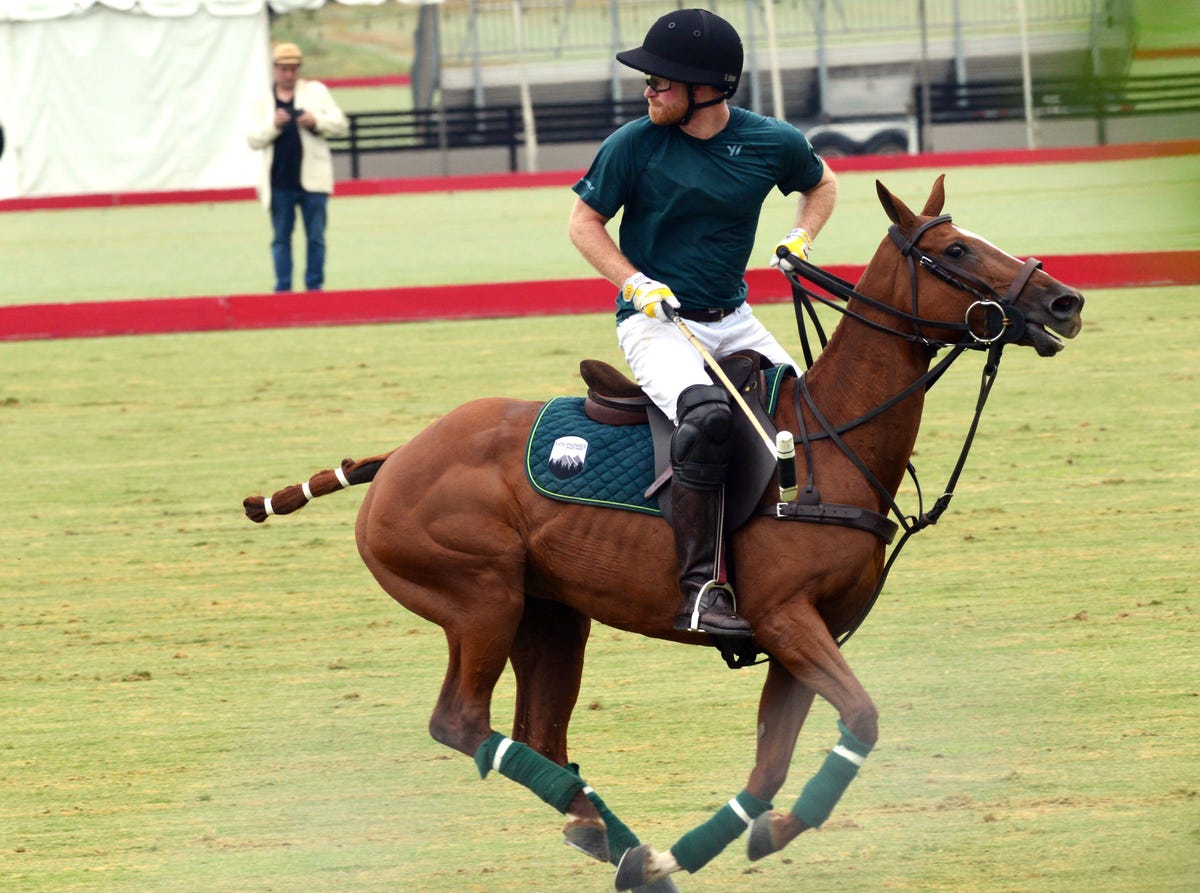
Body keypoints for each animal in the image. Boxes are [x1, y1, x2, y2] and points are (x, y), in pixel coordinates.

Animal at [246, 177, 1089, 888]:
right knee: (460, 719)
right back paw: (613, 838)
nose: (1065, 301)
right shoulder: (786, 618)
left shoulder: (803, 633)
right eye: (957, 251)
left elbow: (769, 767)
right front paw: (717, 843)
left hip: (553, 615)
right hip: (479, 597)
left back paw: (616, 840)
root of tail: (394, 460)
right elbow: (862, 717)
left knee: (539, 733)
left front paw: (732, 839)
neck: (829, 445)